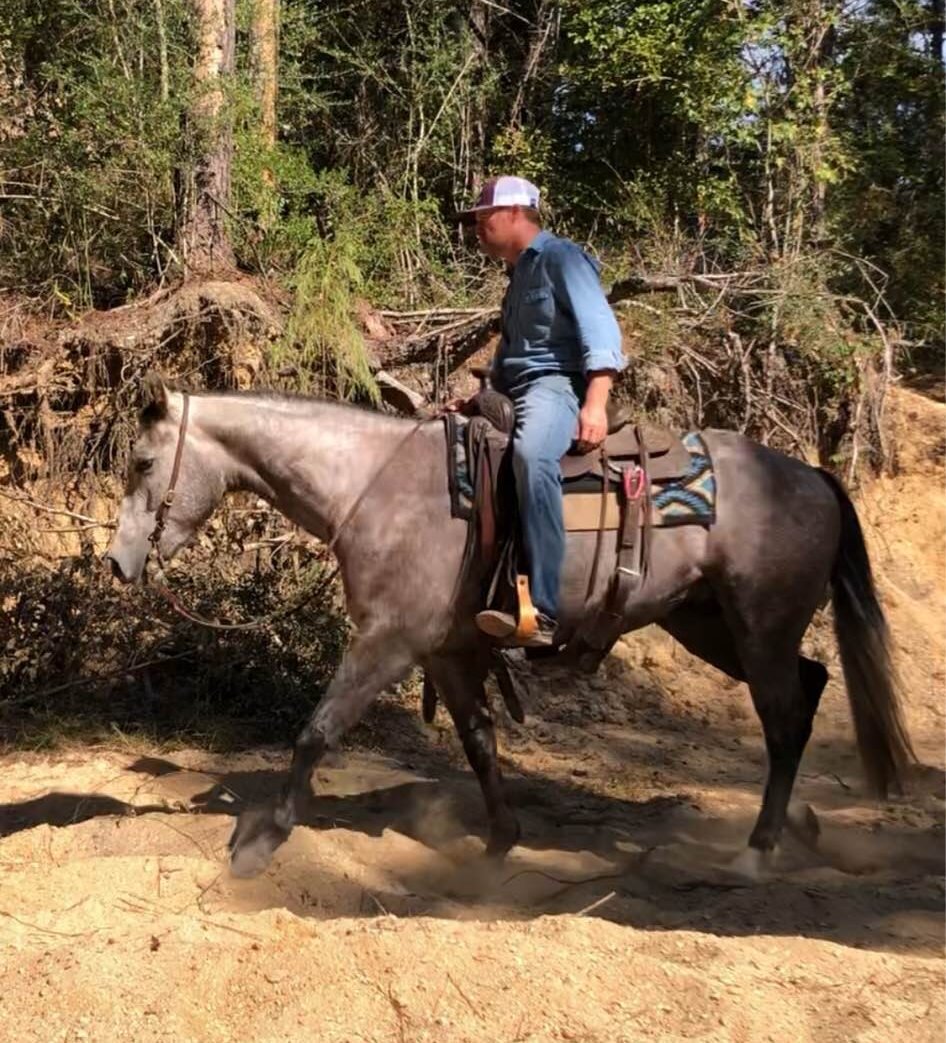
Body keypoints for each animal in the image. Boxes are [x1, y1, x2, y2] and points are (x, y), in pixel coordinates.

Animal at [105, 373, 915, 880]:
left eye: (142, 461)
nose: (116, 561)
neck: (373, 486)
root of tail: (813, 477)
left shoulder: (388, 641)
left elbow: (316, 731)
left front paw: (264, 839)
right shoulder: (448, 651)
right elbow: (479, 742)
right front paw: (499, 842)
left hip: (758, 626)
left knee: (784, 719)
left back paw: (758, 849)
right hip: (711, 626)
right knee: (808, 689)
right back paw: (799, 823)